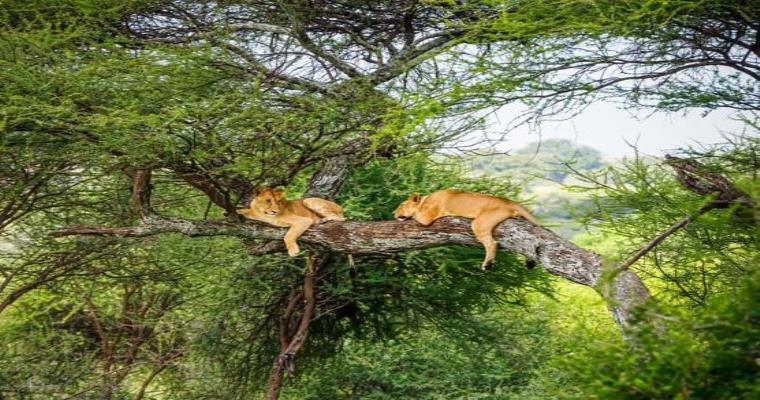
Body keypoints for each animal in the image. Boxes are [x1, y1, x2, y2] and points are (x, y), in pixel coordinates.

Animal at [393, 189, 539, 269]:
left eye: (401, 205)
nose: (393, 213)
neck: (424, 201)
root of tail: (510, 202)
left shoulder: (426, 218)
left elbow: (415, 215)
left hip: (479, 223)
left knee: (492, 243)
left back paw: (487, 264)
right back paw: (529, 262)